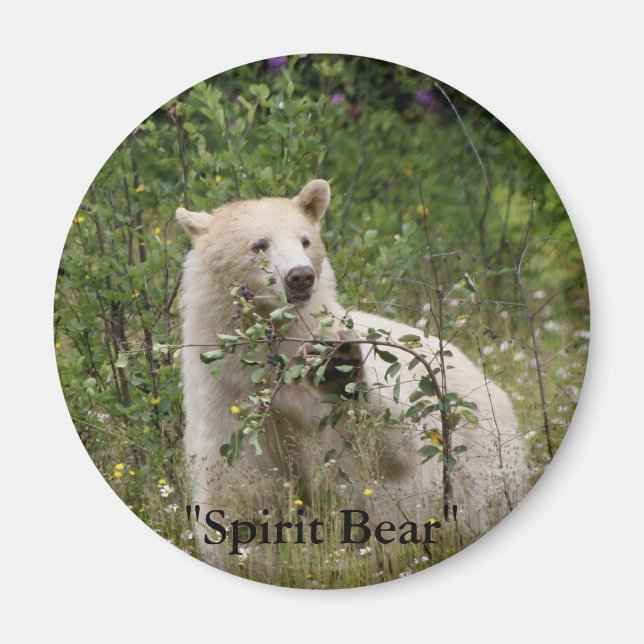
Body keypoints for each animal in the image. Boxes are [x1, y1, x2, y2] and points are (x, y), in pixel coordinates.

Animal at [176, 179, 527, 581]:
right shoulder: (228, 397)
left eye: (305, 239)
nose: (300, 276)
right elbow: (241, 490)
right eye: (259, 244)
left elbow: (385, 453)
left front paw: (337, 370)